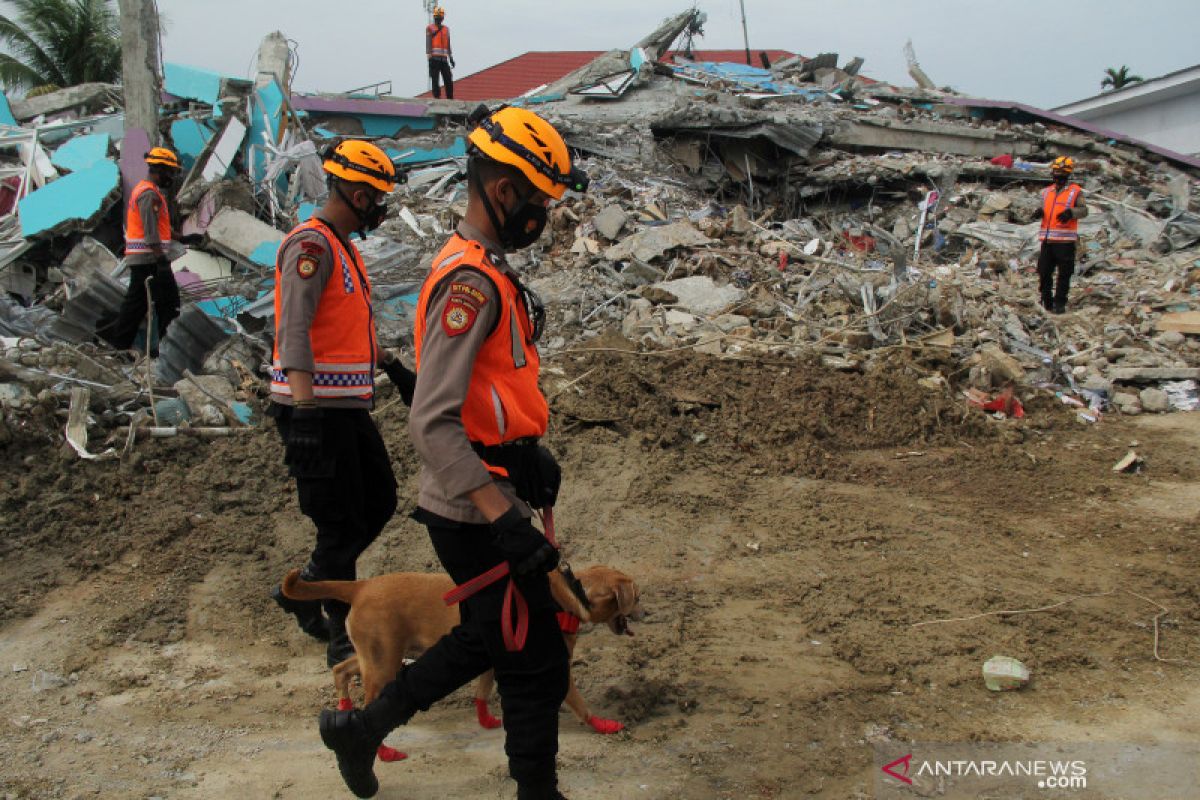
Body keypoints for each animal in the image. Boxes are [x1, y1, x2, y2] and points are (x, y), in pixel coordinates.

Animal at [280, 563, 643, 758]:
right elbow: (579, 703)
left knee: (341, 669)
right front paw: (602, 724)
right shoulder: (556, 669)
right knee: (367, 701)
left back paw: (343, 709)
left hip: (376, 655)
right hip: (383, 664)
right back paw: (380, 751)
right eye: (636, 596)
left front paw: (488, 720)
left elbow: (482, 692)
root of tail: (362, 585)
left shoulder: (493, 664)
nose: (645, 611)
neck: (567, 594)